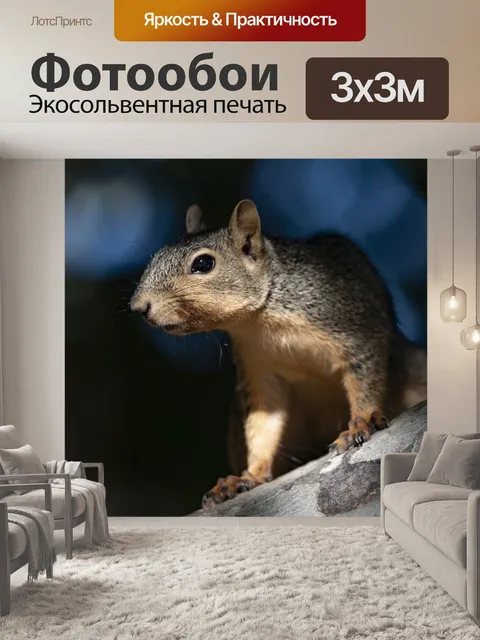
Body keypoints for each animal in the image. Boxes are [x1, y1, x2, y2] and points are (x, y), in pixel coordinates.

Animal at [131, 199, 427, 509]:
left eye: (203, 264)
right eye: (156, 257)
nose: (138, 306)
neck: (259, 321)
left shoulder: (355, 327)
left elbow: (365, 373)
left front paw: (363, 422)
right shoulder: (259, 369)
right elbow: (263, 424)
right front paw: (249, 476)